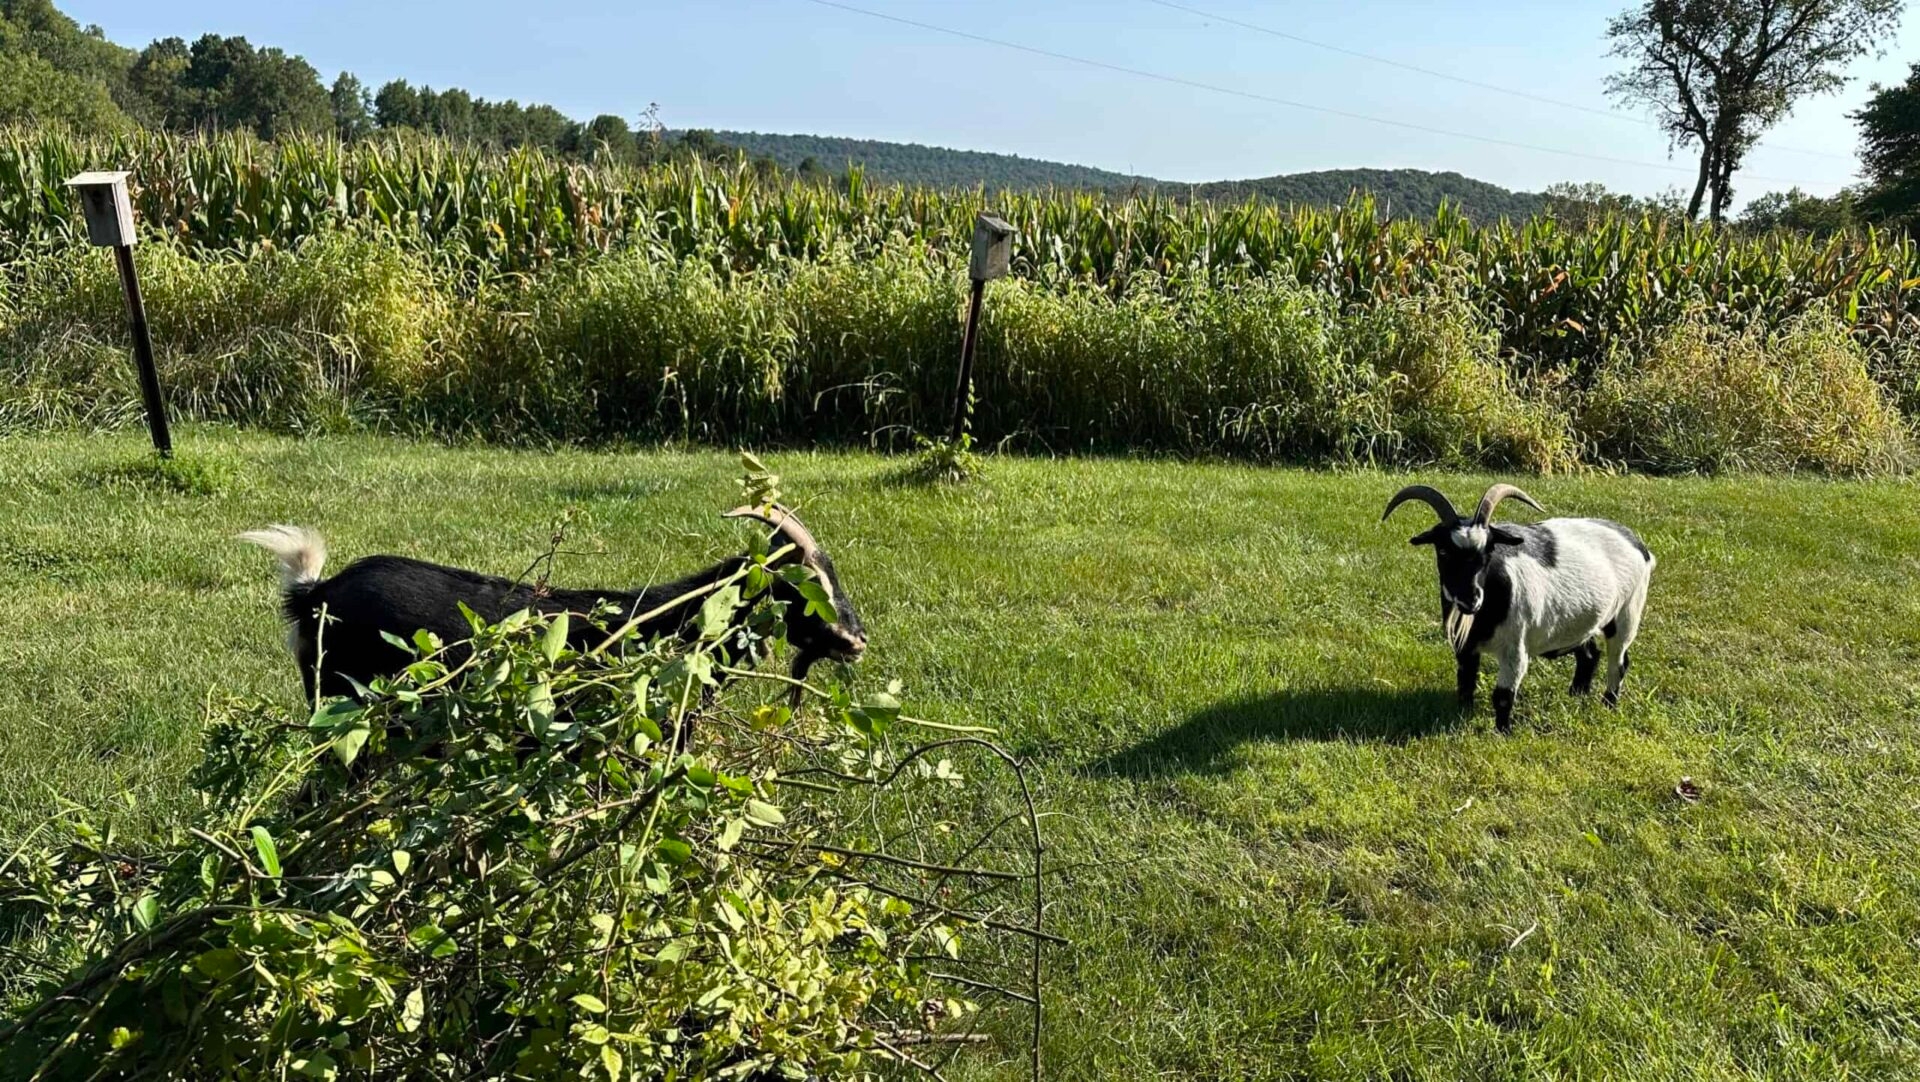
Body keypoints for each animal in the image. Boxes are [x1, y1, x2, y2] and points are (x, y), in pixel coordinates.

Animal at [1382, 485, 1651, 732]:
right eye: (1444, 550)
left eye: (1489, 550)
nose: (1471, 599)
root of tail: (1638, 544)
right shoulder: (1465, 648)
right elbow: (1466, 684)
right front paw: (1462, 717)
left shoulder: (1515, 649)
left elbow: (1502, 695)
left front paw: (1503, 733)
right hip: (1581, 621)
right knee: (1589, 655)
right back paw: (1576, 695)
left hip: (1627, 614)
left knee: (1618, 662)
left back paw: (1608, 704)